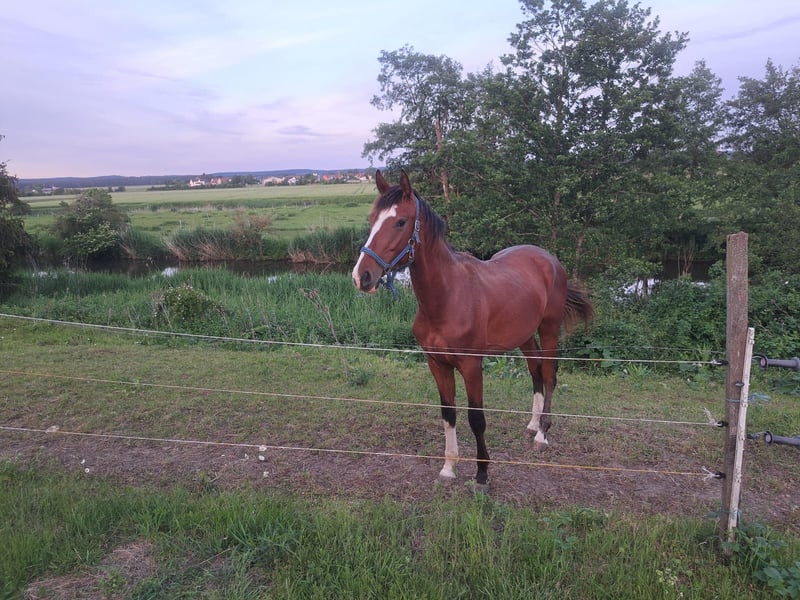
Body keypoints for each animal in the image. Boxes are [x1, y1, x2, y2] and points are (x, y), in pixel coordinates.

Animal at [352, 170, 594, 489]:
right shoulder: (437, 364)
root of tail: (548, 258)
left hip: (549, 329)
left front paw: (482, 473)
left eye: (400, 222)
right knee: (535, 370)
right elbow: (448, 414)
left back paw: (542, 434)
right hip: (525, 335)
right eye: (371, 219)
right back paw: (531, 425)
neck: (447, 297)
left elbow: (476, 418)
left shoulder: (471, 365)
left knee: (549, 373)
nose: (361, 276)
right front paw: (448, 468)